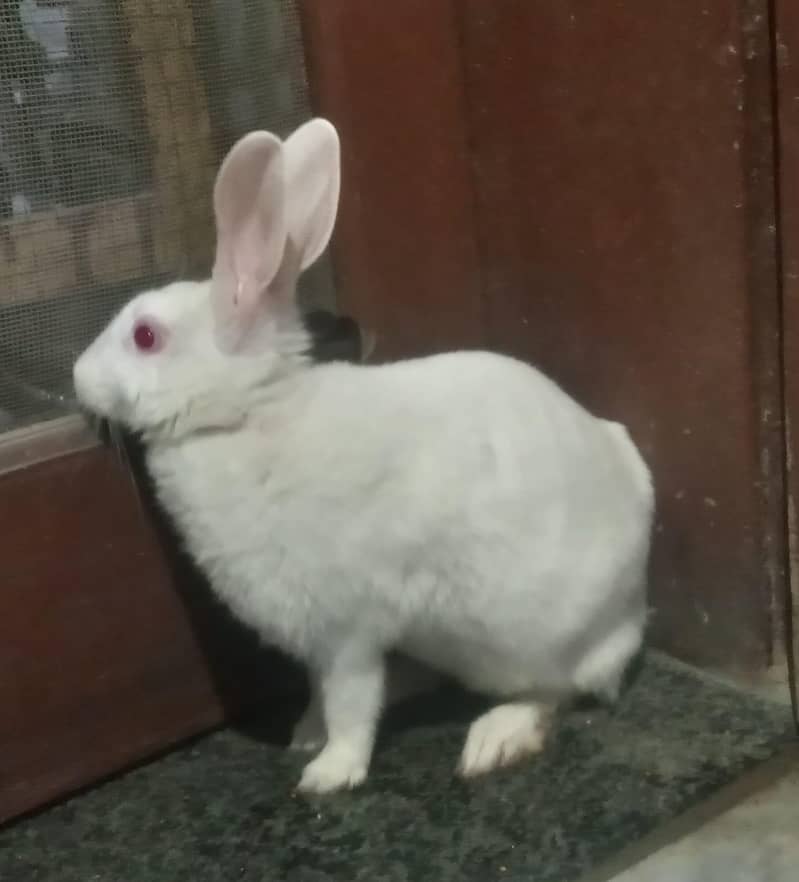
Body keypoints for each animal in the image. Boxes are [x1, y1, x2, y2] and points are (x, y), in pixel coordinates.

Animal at [73, 118, 654, 795]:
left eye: (145, 337)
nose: (77, 376)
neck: (249, 414)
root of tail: (632, 609)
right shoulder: (322, 639)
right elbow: (323, 693)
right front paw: (305, 733)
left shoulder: (346, 630)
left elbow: (351, 701)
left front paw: (328, 773)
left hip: (531, 641)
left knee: (557, 689)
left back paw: (494, 739)